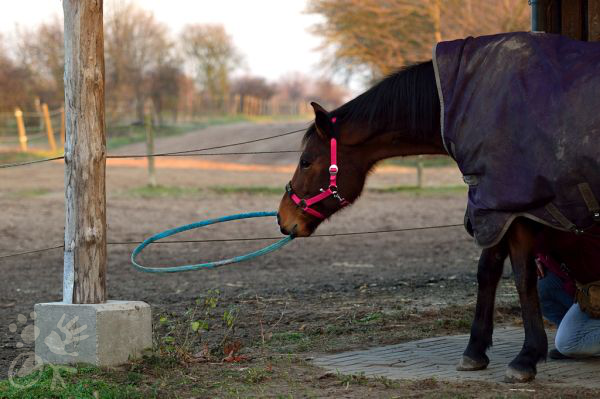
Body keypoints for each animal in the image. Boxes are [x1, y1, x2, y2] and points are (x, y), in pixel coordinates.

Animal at [276, 61, 600, 382]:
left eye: (305, 161)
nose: (283, 217)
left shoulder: (516, 210)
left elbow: (522, 277)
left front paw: (526, 357)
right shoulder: (492, 210)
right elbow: (487, 272)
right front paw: (475, 351)